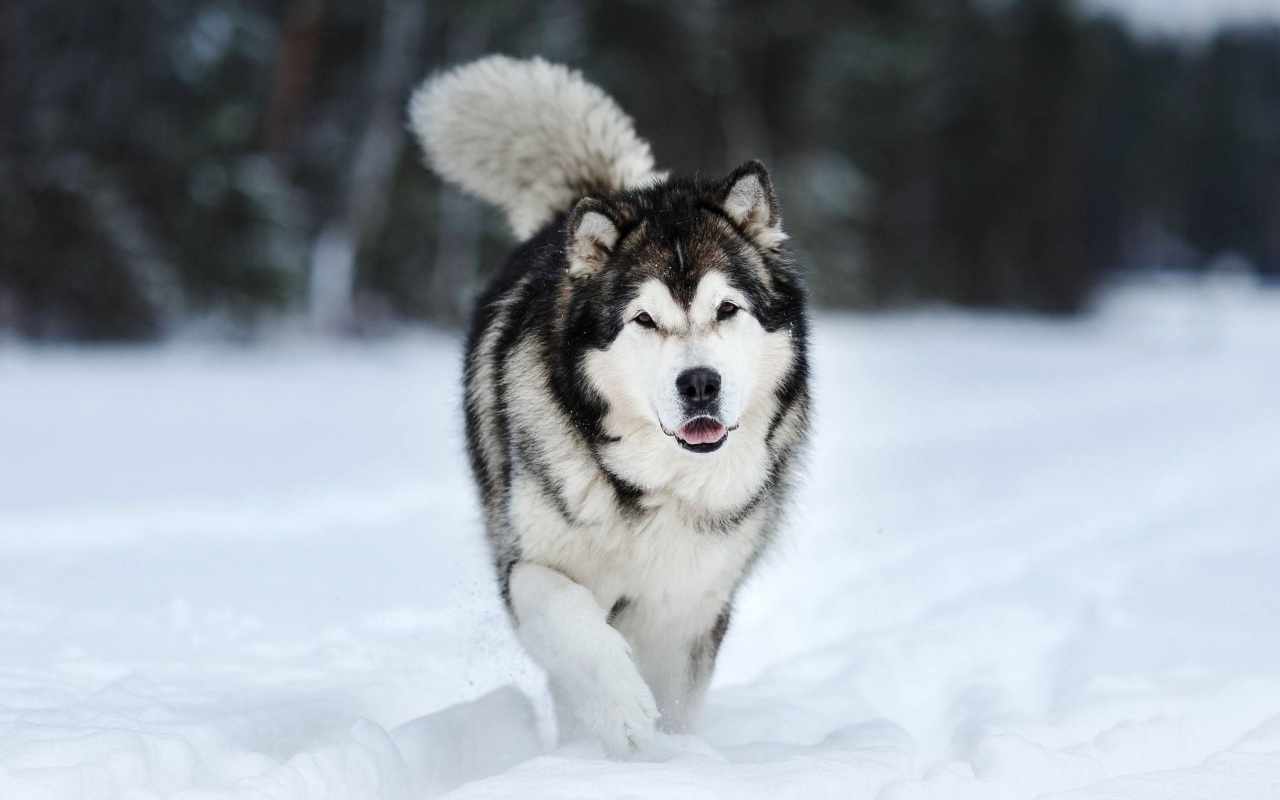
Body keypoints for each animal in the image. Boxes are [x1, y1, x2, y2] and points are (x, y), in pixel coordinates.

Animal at [409, 56, 808, 752]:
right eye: (644, 319)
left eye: (727, 309)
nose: (699, 384)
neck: (652, 488)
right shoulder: (528, 564)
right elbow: (572, 622)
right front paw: (620, 711)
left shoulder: (688, 608)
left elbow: (678, 700)